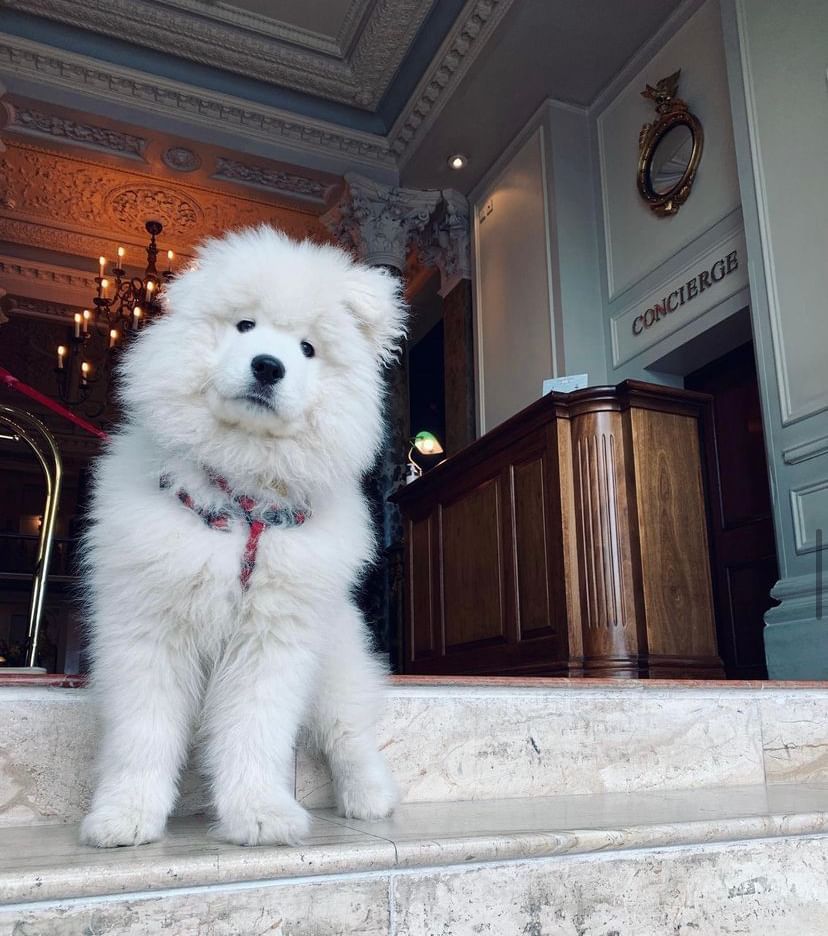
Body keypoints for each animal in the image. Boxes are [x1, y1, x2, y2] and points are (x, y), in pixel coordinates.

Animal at [81, 227, 404, 848]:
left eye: (308, 349)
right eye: (245, 325)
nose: (268, 366)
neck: (241, 502)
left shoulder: (272, 640)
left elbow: (255, 731)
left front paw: (259, 814)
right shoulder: (149, 631)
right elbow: (143, 734)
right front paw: (124, 816)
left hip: (337, 667)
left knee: (350, 735)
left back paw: (371, 799)